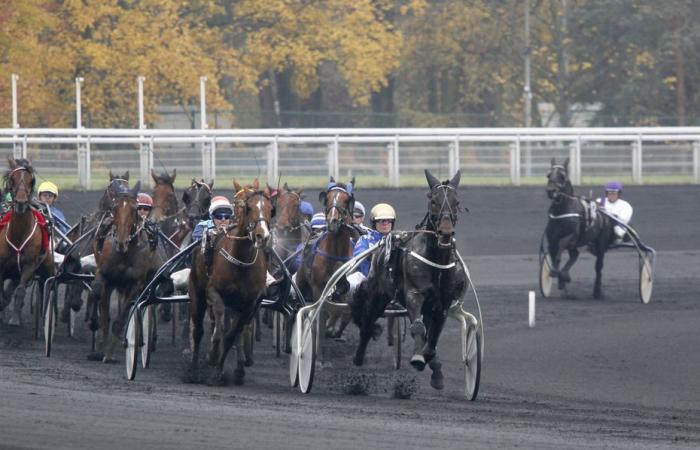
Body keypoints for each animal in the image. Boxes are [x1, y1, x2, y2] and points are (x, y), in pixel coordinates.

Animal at [0, 158, 52, 326]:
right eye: (12, 179)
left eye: (31, 180)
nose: (21, 203)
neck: (18, 235)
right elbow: (2, 293)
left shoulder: (29, 265)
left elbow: (20, 291)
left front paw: (15, 319)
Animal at [87, 179, 163, 362]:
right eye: (114, 208)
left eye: (134, 209)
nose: (121, 242)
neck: (124, 253)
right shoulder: (105, 275)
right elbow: (99, 297)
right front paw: (99, 347)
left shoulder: (136, 283)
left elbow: (121, 318)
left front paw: (109, 354)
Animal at [190, 178, 274, 384]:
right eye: (248, 207)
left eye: (271, 208)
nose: (262, 236)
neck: (241, 261)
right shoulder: (213, 293)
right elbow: (218, 327)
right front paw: (213, 355)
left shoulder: (249, 305)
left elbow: (231, 336)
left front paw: (219, 371)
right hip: (197, 293)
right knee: (198, 330)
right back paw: (194, 370)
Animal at [350, 169, 464, 390]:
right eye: (433, 201)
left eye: (457, 202)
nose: (446, 233)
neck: (435, 262)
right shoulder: (414, 294)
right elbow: (418, 328)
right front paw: (419, 358)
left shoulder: (442, 303)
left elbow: (433, 337)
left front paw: (433, 365)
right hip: (376, 297)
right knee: (366, 325)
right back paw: (358, 358)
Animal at [548, 159, 612, 298]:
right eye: (548, 175)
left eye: (562, 176)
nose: (551, 191)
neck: (563, 210)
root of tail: (603, 214)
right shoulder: (552, 238)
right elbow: (553, 254)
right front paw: (561, 277)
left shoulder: (572, 236)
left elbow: (561, 247)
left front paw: (559, 275)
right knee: (575, 255)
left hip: (600, 243)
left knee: (598, 266)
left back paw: (597, 291)